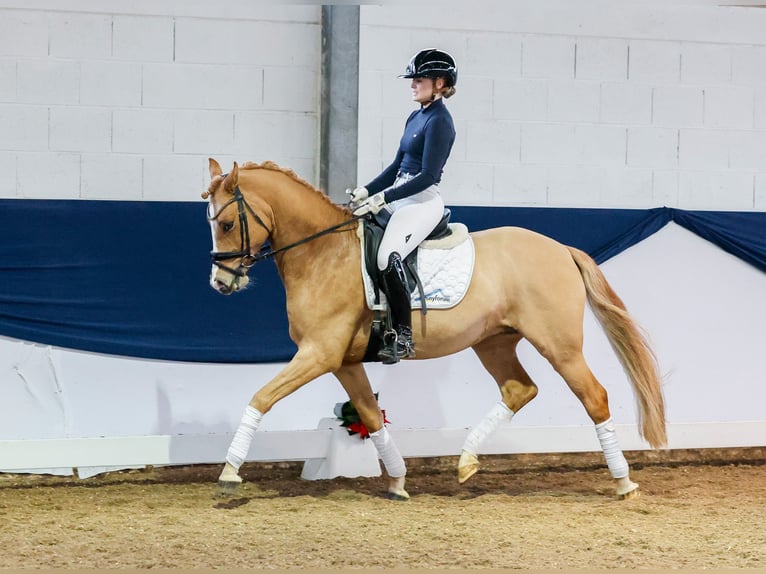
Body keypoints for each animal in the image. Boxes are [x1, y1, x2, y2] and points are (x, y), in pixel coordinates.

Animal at [202, 160, 664, 502]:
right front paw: (398, 481)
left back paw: (624, 483)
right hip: (493, 342)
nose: (221, 284)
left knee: (594, 396)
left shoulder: (319, 353)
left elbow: (261, 397)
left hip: (560, 346)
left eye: (225, 224)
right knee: (519, 389)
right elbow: (370, 415)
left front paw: (229, 471)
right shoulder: (343, 361)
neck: (323, 253)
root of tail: (561, 249)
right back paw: (466, 462)